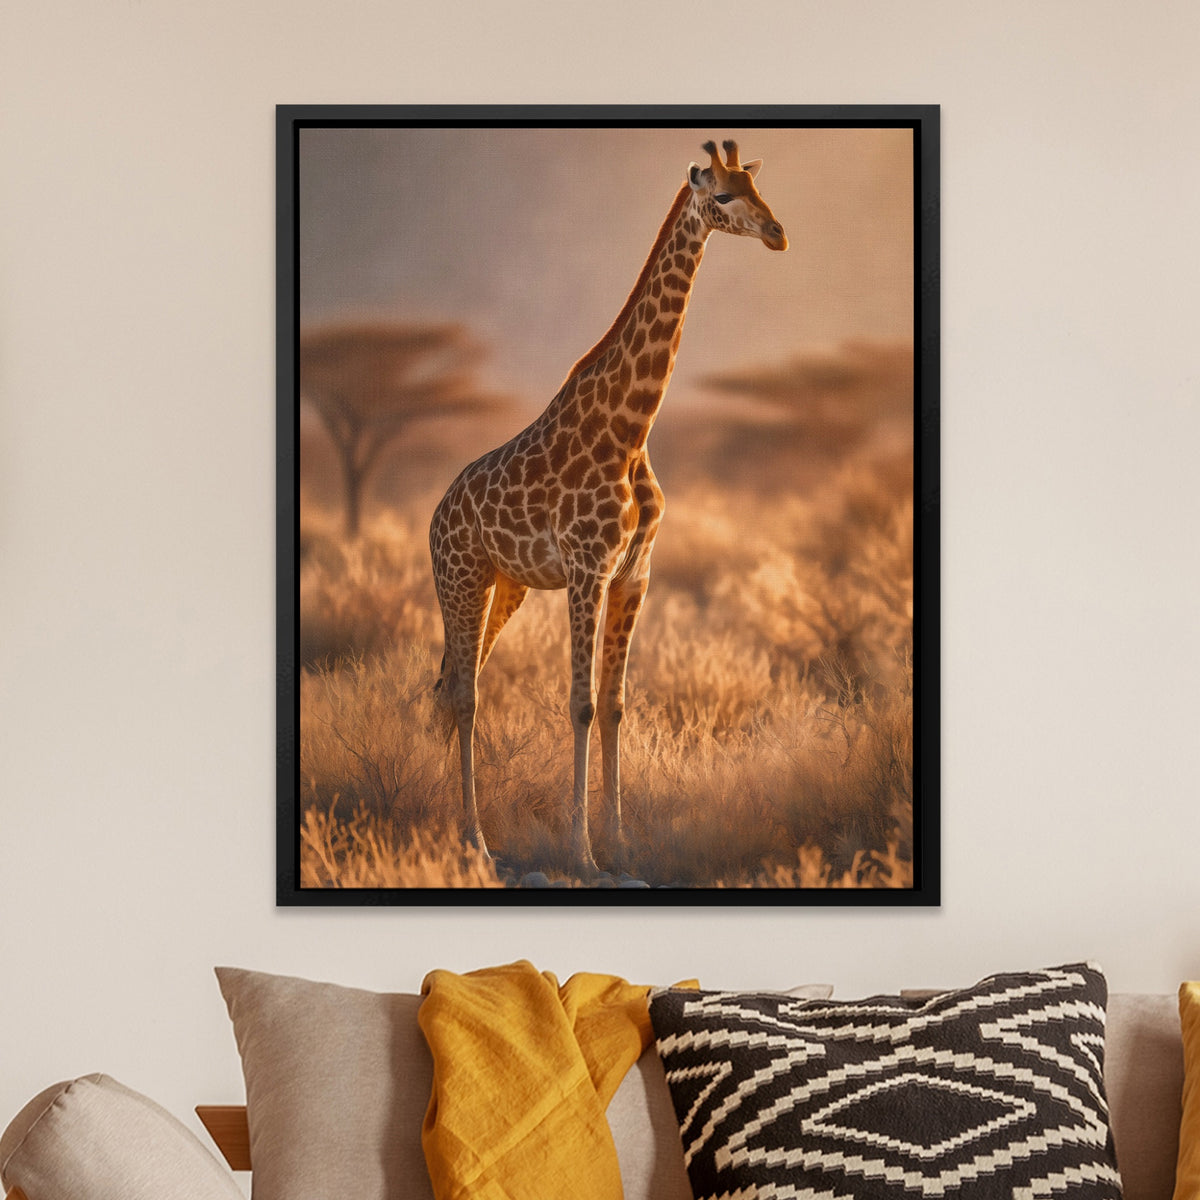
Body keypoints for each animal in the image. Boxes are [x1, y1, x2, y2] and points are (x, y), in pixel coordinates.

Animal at [429, 138, 787, 875]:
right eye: (723, 196)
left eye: (757, 187)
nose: (777, 233)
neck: (633, 427)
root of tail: (434, 518)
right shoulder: (588, 570)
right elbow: (580, 704)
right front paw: (582, 852)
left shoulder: (634, 575)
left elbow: (617, 704)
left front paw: (621, 843)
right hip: (461, 580)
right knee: (463, 694)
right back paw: (473, 838)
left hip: (505, 587)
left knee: (457, 682)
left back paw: (460, 827)